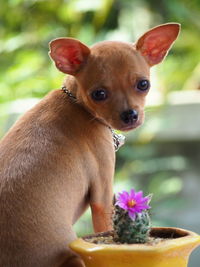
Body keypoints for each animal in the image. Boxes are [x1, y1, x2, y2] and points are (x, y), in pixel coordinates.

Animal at [0, 23, 180, 267]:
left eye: (144, 84)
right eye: (99, 94)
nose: (130, 115)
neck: (77, 102)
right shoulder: (102, 195)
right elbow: (106, 226)